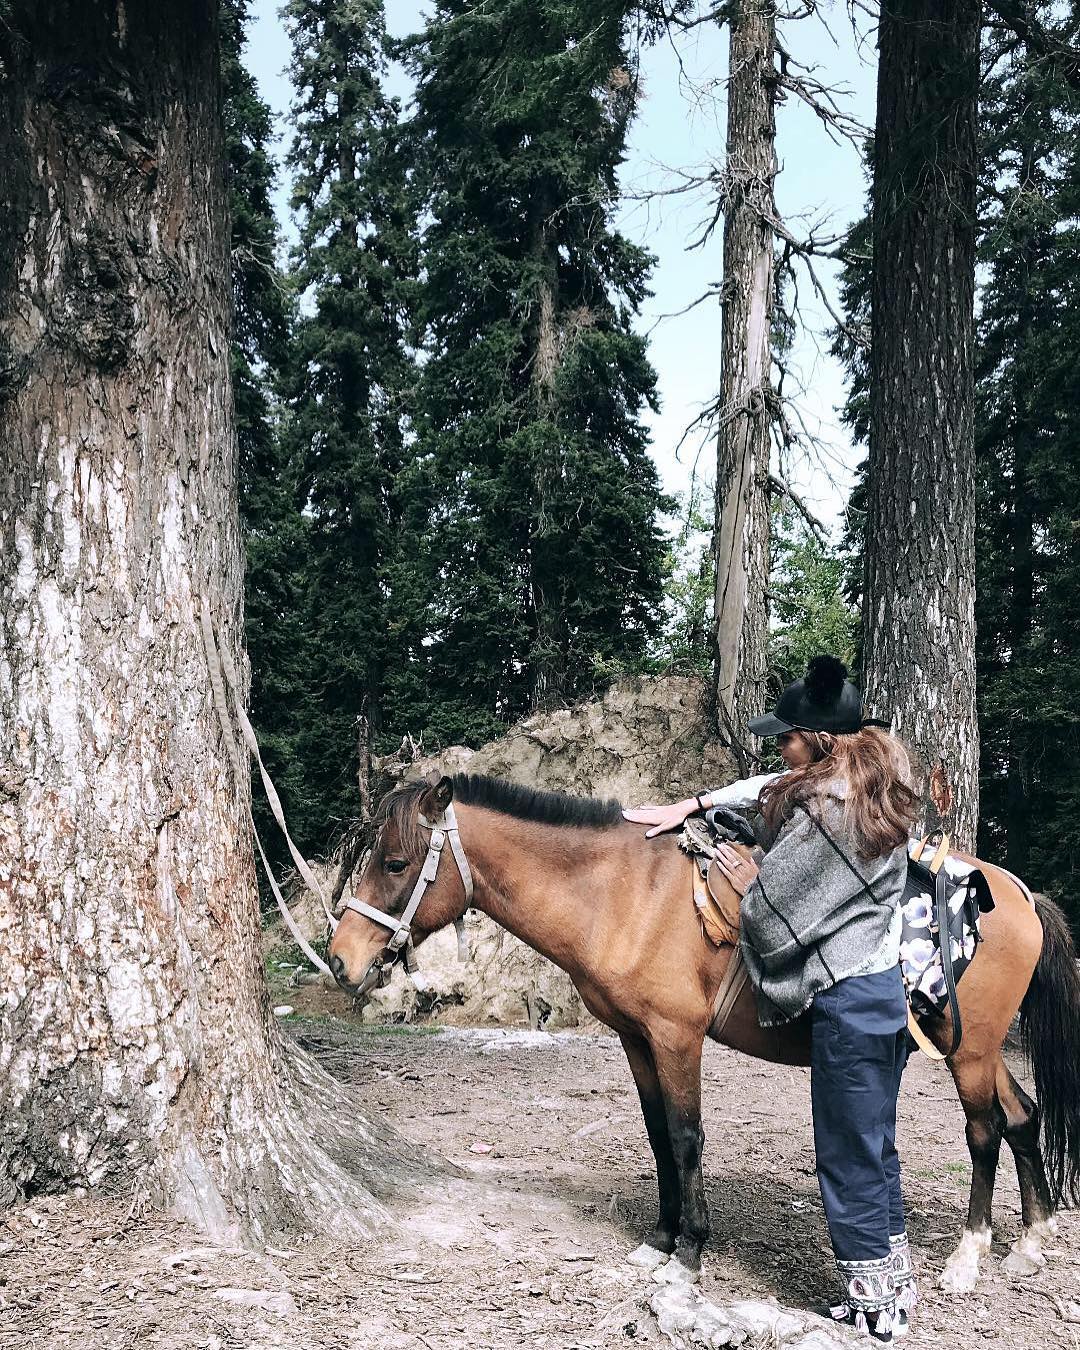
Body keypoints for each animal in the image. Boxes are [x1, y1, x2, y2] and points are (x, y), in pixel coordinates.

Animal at [326, 772, 1080, 1285]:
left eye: (395, 863)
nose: (341, 959)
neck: (622, 895)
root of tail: (1017, 893)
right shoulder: (636, 1039)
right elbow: (659, 1134)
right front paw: (660, 1237)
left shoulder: (676, 1037)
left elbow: (687, 1138)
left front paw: (689, 1249)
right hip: (980, 1049)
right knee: (1023, 1115)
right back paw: (1032, 1238)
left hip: (967, 1050)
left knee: (984, 1132)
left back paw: (969, 1255)